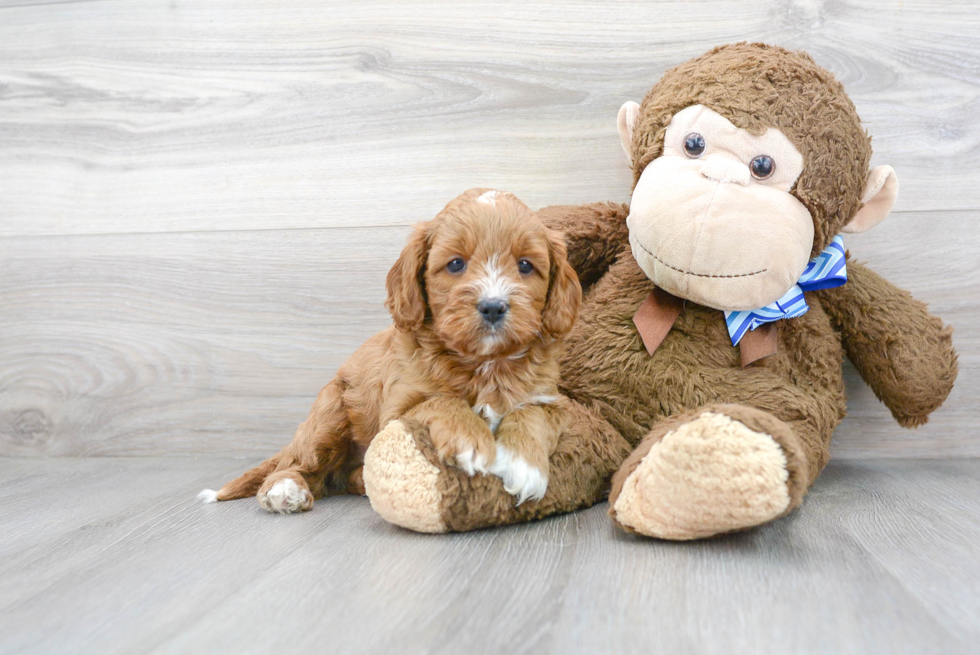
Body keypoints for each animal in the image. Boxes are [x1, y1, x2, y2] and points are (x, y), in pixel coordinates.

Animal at [201, 187, 580, 516]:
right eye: (455, 264)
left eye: (526, 265)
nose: (493, 306)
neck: (483, 364)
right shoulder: (398, 407)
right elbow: (441, 400)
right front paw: (469, 441)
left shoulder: (553, 400)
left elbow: (530, 413)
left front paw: (523, 464)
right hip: (329, 412)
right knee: (296, 464)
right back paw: (285, 490)